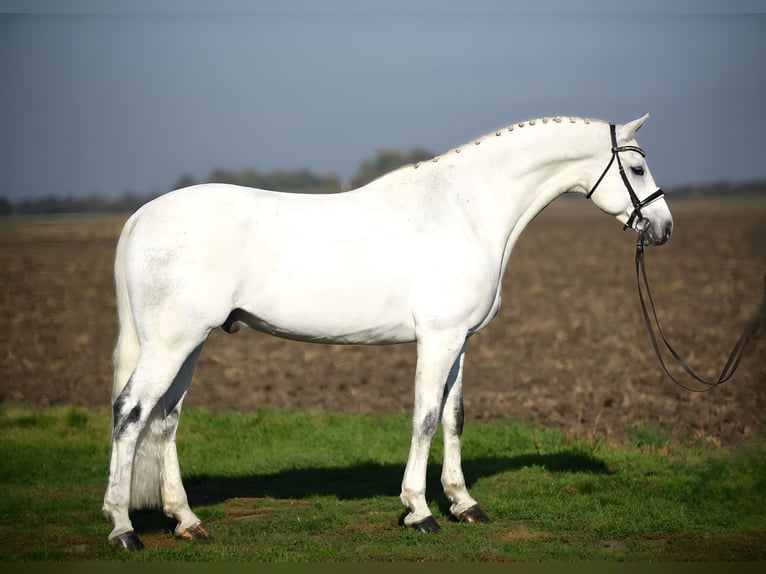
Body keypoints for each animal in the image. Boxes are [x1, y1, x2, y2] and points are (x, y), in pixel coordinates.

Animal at [100, 115, 672, 552]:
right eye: (637, 167)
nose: (663, 228)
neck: (463, 211)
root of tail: (141, 216)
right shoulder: (438, 338)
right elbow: (425, 418)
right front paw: (420, 510)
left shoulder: (460, 341)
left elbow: (453, 418)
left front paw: (464, 503)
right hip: (171, 343)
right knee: (130, 412)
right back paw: (124, 528)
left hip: (190, 343)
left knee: (165, 419)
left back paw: (187, 521)